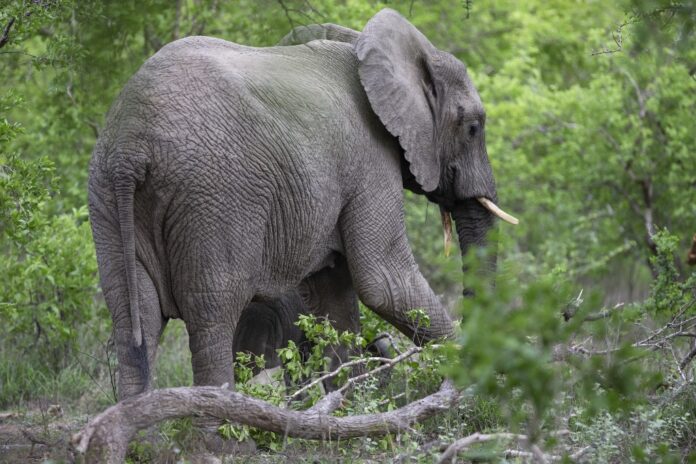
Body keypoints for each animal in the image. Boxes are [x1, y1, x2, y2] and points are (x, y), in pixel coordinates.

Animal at [89, 6, 516, 420]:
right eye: (473, 127)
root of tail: (131, 146)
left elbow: (335, 299)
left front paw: (348, 414)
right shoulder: (369, 155)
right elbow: (384, 280)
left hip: (106, 194)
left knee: (133, 318)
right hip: (214, 197)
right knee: (212, 314)